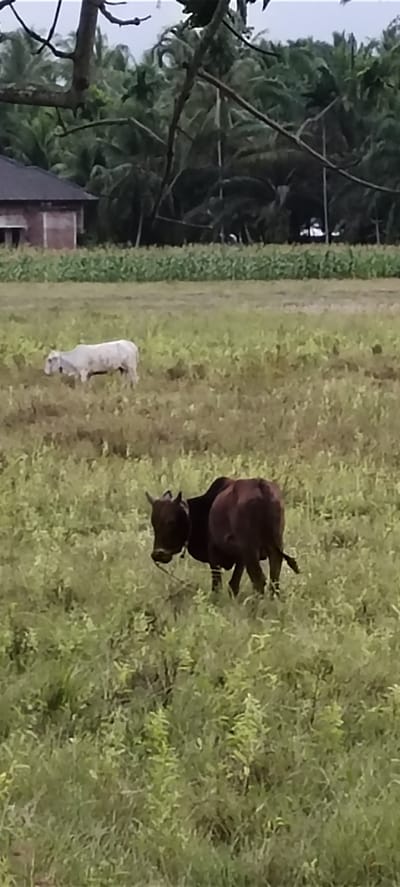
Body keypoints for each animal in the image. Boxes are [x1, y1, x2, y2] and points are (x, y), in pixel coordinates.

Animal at [146, 476, 299, 597]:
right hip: (275, 546)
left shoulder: (214, 554)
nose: (158, 554)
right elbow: (233, 585)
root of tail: (261, 486)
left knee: (258, 580)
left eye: (171, 521)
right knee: (274, 578)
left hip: (250, 549)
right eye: (153, 523)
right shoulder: (240, 559)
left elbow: (217, 586)